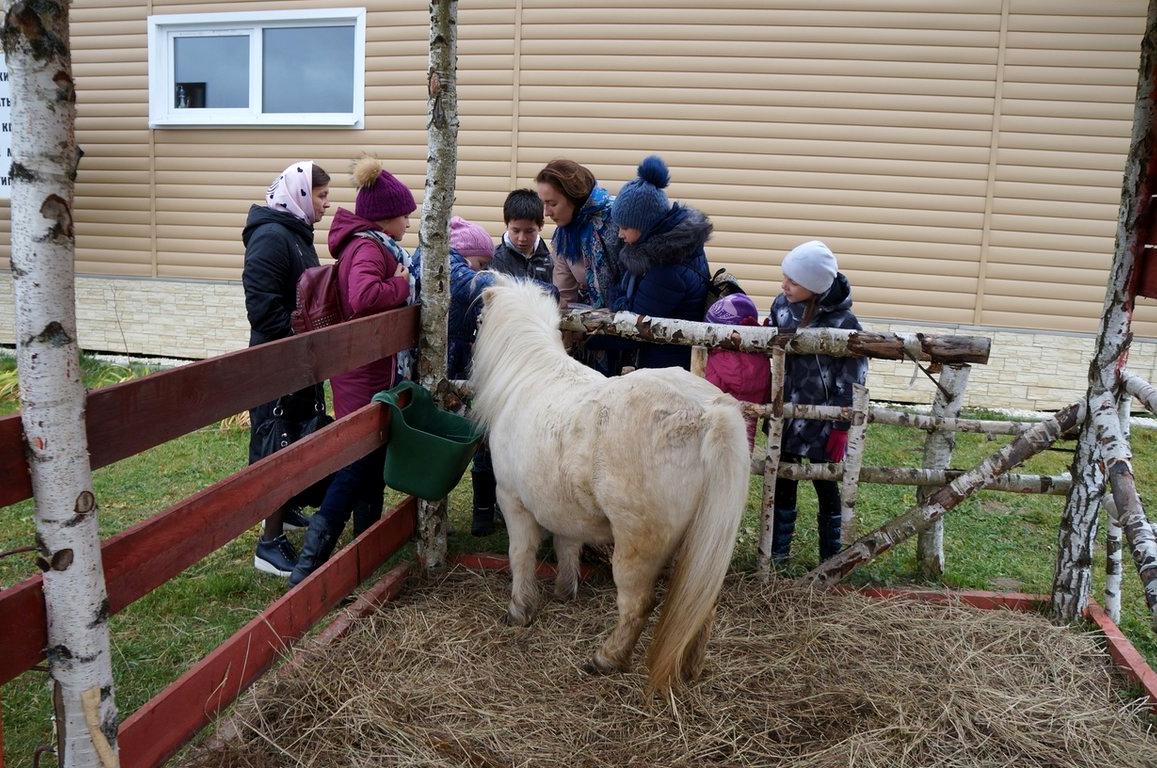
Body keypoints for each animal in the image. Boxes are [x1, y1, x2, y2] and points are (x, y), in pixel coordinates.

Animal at [469, 277, 749, 693]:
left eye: (478, 321)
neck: (529, 376)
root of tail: (706, 412)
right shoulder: (562, 508)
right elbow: (566, 545)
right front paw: (565, 591)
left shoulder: (513, 501)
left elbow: (521, 555)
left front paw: (519, 610)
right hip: (699, 545)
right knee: (702, 604)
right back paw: (691, 668)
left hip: (637, 547)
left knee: (637, 606)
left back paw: (607, 658)